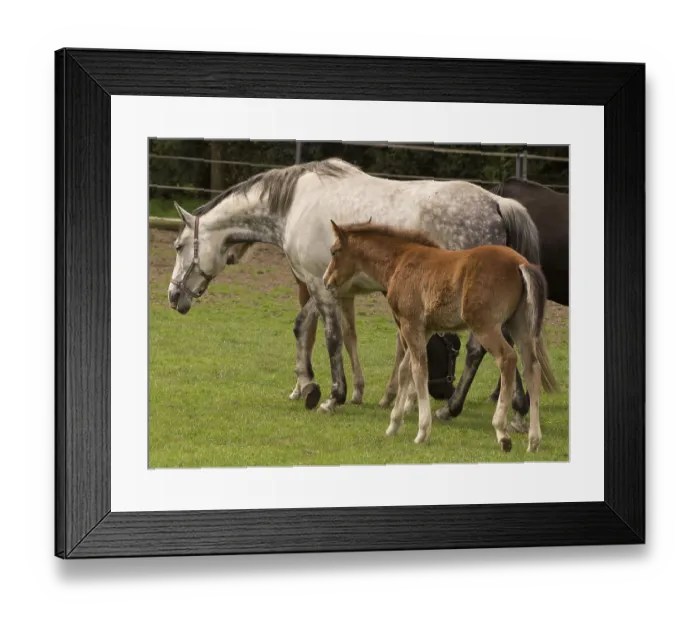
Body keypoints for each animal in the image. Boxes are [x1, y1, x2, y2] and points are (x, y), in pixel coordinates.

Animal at [166, 158, 544, 422]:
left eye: (179, 245)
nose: (173, 296)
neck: (294, 205)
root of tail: (496, 203)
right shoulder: (325, 285)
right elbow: (314, 329)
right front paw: (312, 386)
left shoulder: (319, 285)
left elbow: (331, 338)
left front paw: (334, 396)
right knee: (503, 347)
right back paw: (516, 408)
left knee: (481, 350)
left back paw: (454, 408)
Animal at [322, 220, 556, 452]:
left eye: (334, 251)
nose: (326, 281)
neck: (400, 262)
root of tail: (520, 263)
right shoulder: (423, 330)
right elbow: (405, 369)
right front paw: (394, 424)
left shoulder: (410, 324)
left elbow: (418, 370)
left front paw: (422, 431)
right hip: (520, 326)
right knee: (532, 367)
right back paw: (534, 440)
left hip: (485, 326)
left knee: (507, 359)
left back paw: (502, 432)